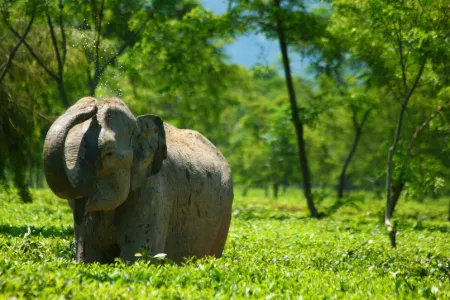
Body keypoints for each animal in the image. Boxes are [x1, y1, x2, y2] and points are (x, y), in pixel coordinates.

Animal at [42, 97, 234, 264]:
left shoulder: (154, 194)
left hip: (225, 211)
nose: (91, 104)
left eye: (108, 153)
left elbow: (137, 258)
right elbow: (89, 257)